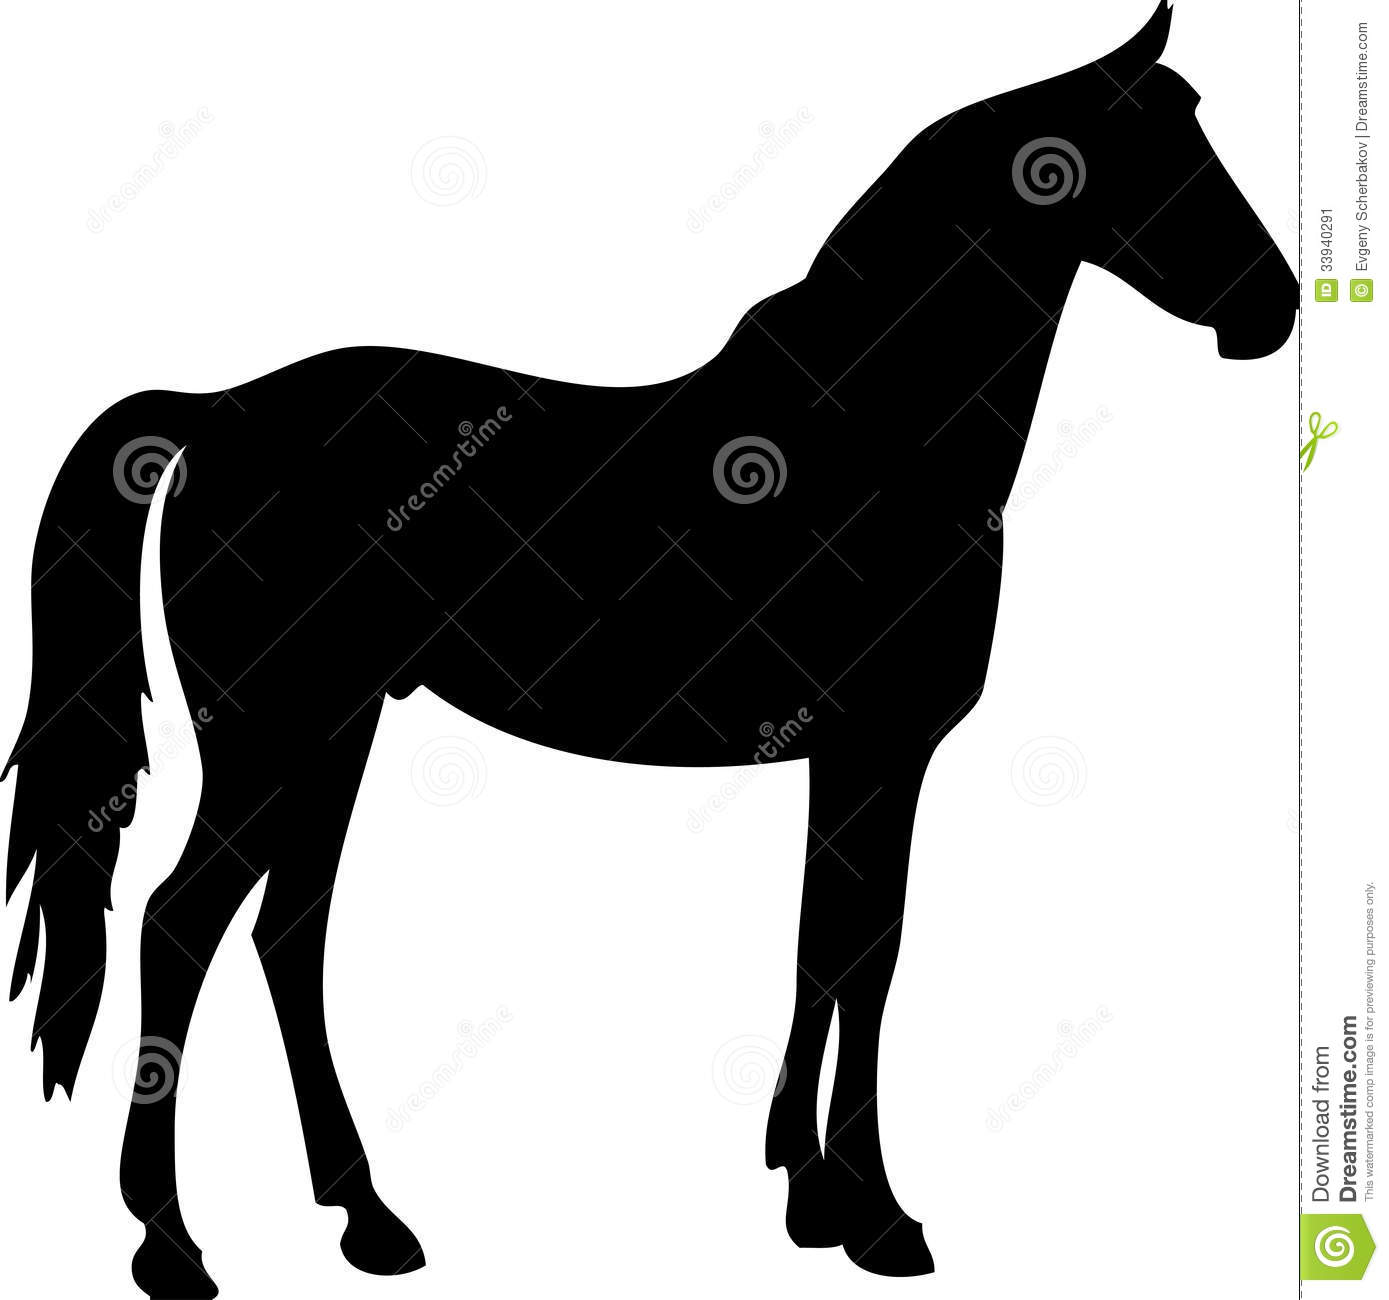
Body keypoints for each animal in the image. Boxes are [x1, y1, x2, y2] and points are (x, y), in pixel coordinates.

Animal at [4, 4, 1294, 1294]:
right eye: (1162, 147)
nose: (1275, 307)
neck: (870, 431)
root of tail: (214, 413)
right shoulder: (884, 749)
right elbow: (866, 958)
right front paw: (878, 1216)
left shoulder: (846, 758)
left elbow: (822, 946)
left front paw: (807, 1190)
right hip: (274, 734)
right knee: (180, 926)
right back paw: (172, 1244)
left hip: (337, 727)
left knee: (289, 935)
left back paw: (367, 1216)